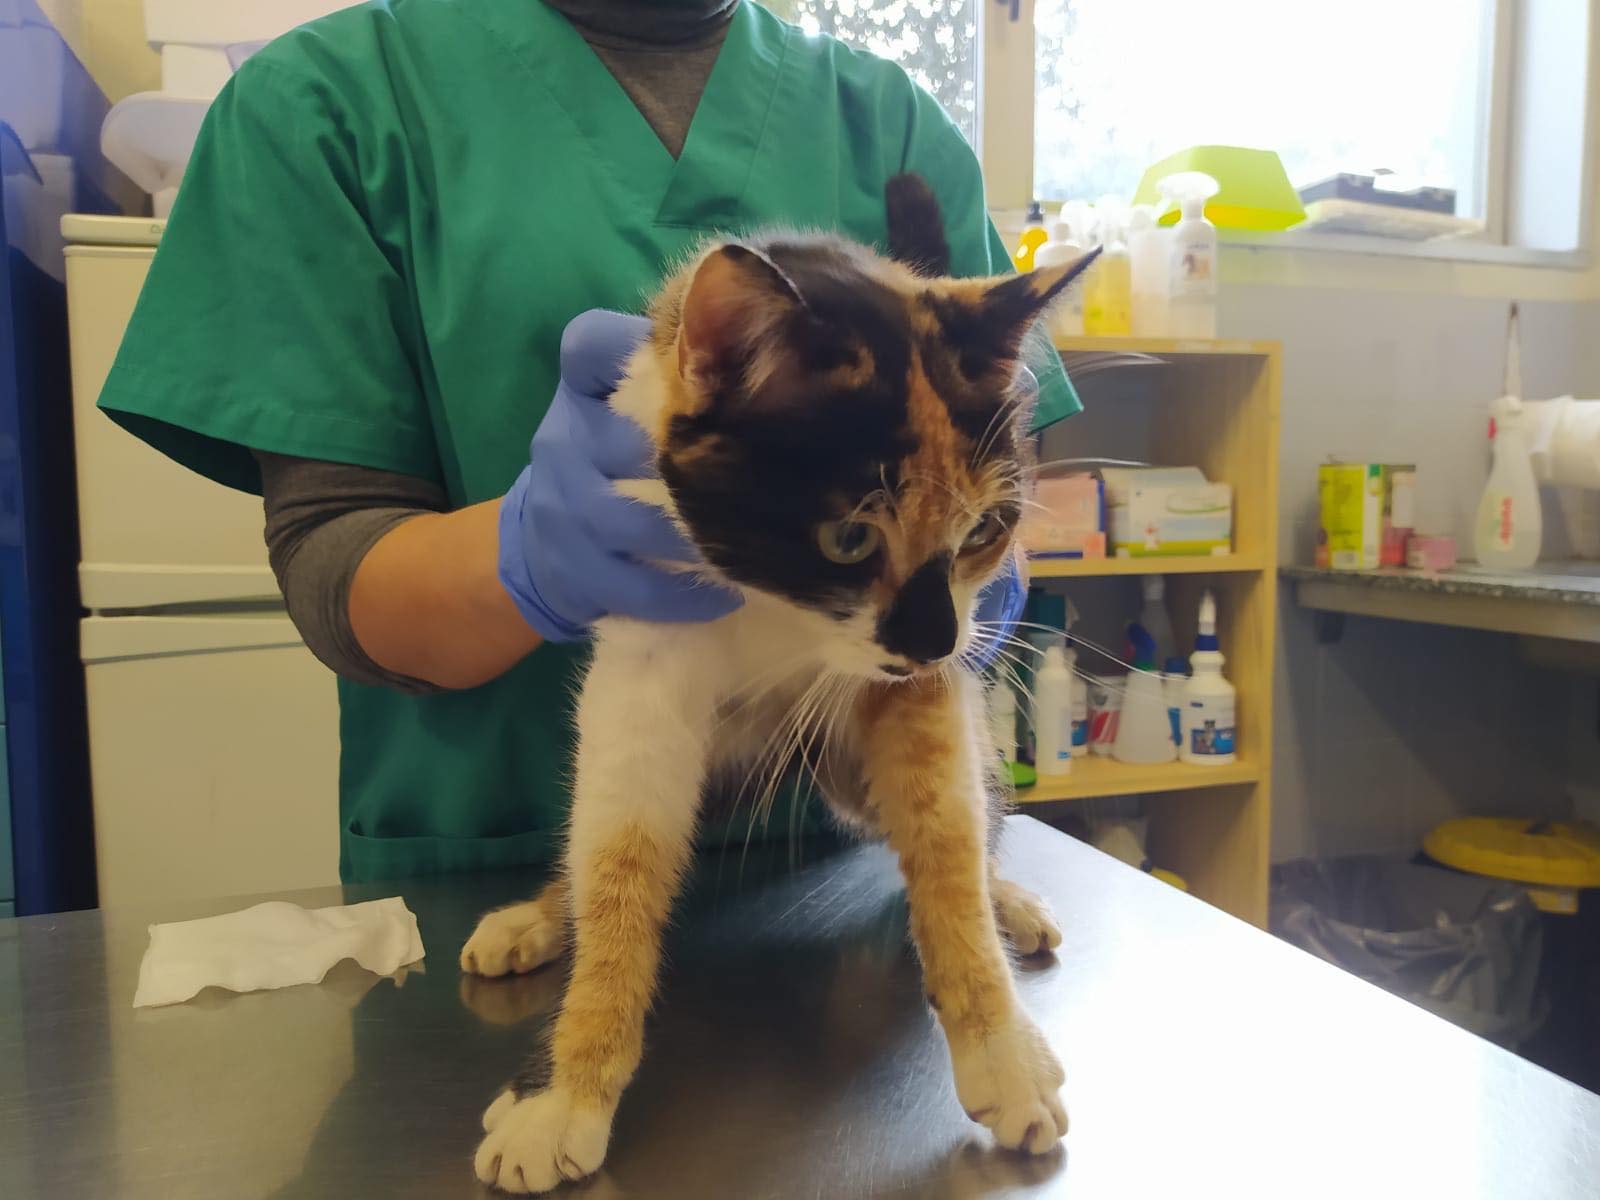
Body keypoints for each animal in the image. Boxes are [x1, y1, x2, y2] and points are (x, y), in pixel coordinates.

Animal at [462, 174, 1096, 1194]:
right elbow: (618, 858)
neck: (773, 603)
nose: (936, 642)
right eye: (848, 537)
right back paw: (536, 918)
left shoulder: (915, 691)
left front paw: (1000, 1048)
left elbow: (946, 836)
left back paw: (1010, 901)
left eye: (983, 531)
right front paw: (563, 1089)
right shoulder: (644, 662)